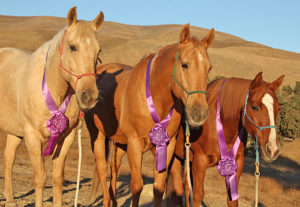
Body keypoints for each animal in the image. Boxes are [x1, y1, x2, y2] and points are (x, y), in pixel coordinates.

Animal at [0, 6, 104, 207]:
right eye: (73, 47)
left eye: (98, 51)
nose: (89, 96)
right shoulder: (33, 137)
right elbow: (40, 178)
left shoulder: (67, 137)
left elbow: (57, 178)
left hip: (14, 131)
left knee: (8, 158)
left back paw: (10, 201)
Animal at [84, 24, 216, 207]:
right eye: (185, 65)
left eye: (208, 68)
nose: (200, 113)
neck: (155, 99)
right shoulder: (134, 144)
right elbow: (136, 186)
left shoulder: (167, 144)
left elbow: (159, 187)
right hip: (97, 134)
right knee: (103, 170)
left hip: (120, 143)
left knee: (114, 166)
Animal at [169, 72, 284, 206]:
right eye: (255, 107)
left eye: (278, 108)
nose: (273, 149)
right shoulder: (199, 161)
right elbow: (197, 196)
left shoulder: (237, 163)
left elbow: (232, 200)